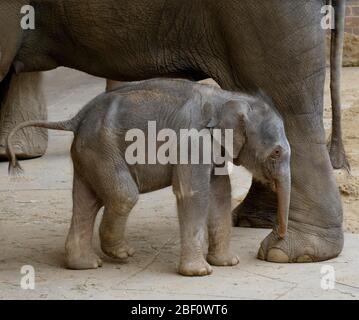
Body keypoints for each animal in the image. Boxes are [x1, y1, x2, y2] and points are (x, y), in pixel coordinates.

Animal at [7, 79, 292, 276]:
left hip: (88, 152)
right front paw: (200, 272)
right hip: (103, 150)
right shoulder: (192, 142)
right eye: (276, 152)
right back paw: (121, 253)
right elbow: (193, 193)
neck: (228, 97)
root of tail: (77, 117)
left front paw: (228, 263)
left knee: (86, 201)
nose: (279, 236)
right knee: (123, 195)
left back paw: (86, 265)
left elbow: (220, 193)